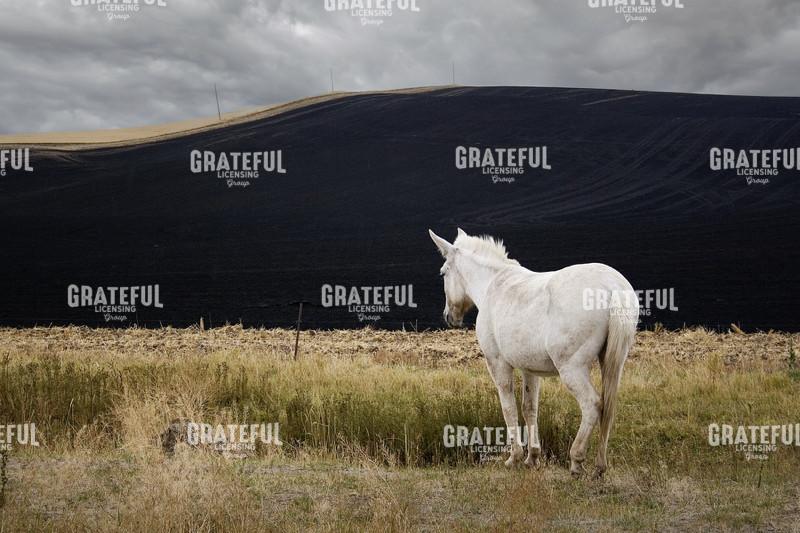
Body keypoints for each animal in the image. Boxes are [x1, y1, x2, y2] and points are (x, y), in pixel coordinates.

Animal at [429, 228, 638, 478]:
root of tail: (612, 288)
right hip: (613, 363)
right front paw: (533, 458)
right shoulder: (530, 370)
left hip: (572, 369)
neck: (493, 285)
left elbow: (508, 407)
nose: (449, 317)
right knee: (608, 408)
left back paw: (576, 460)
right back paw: (599, 466)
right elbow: (530, 408)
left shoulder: (498, 364)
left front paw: (515, 457)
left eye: (443, 273)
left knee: (592, 404)